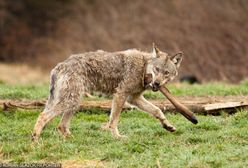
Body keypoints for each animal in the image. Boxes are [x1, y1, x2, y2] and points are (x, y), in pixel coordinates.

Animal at [31, 44, 182, 140]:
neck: (143, 67)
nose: (157, 83)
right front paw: (117, 137)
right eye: (157, 69)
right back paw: (35, 140)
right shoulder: (120, 95)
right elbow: (114, 120)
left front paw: (168, 125)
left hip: (74, 102)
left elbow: (157, 110)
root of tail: (59, 65)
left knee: (61, 125)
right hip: (70, 101)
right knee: (43, 116)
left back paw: (73, 140)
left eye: (166, 73)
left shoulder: (134, 99)